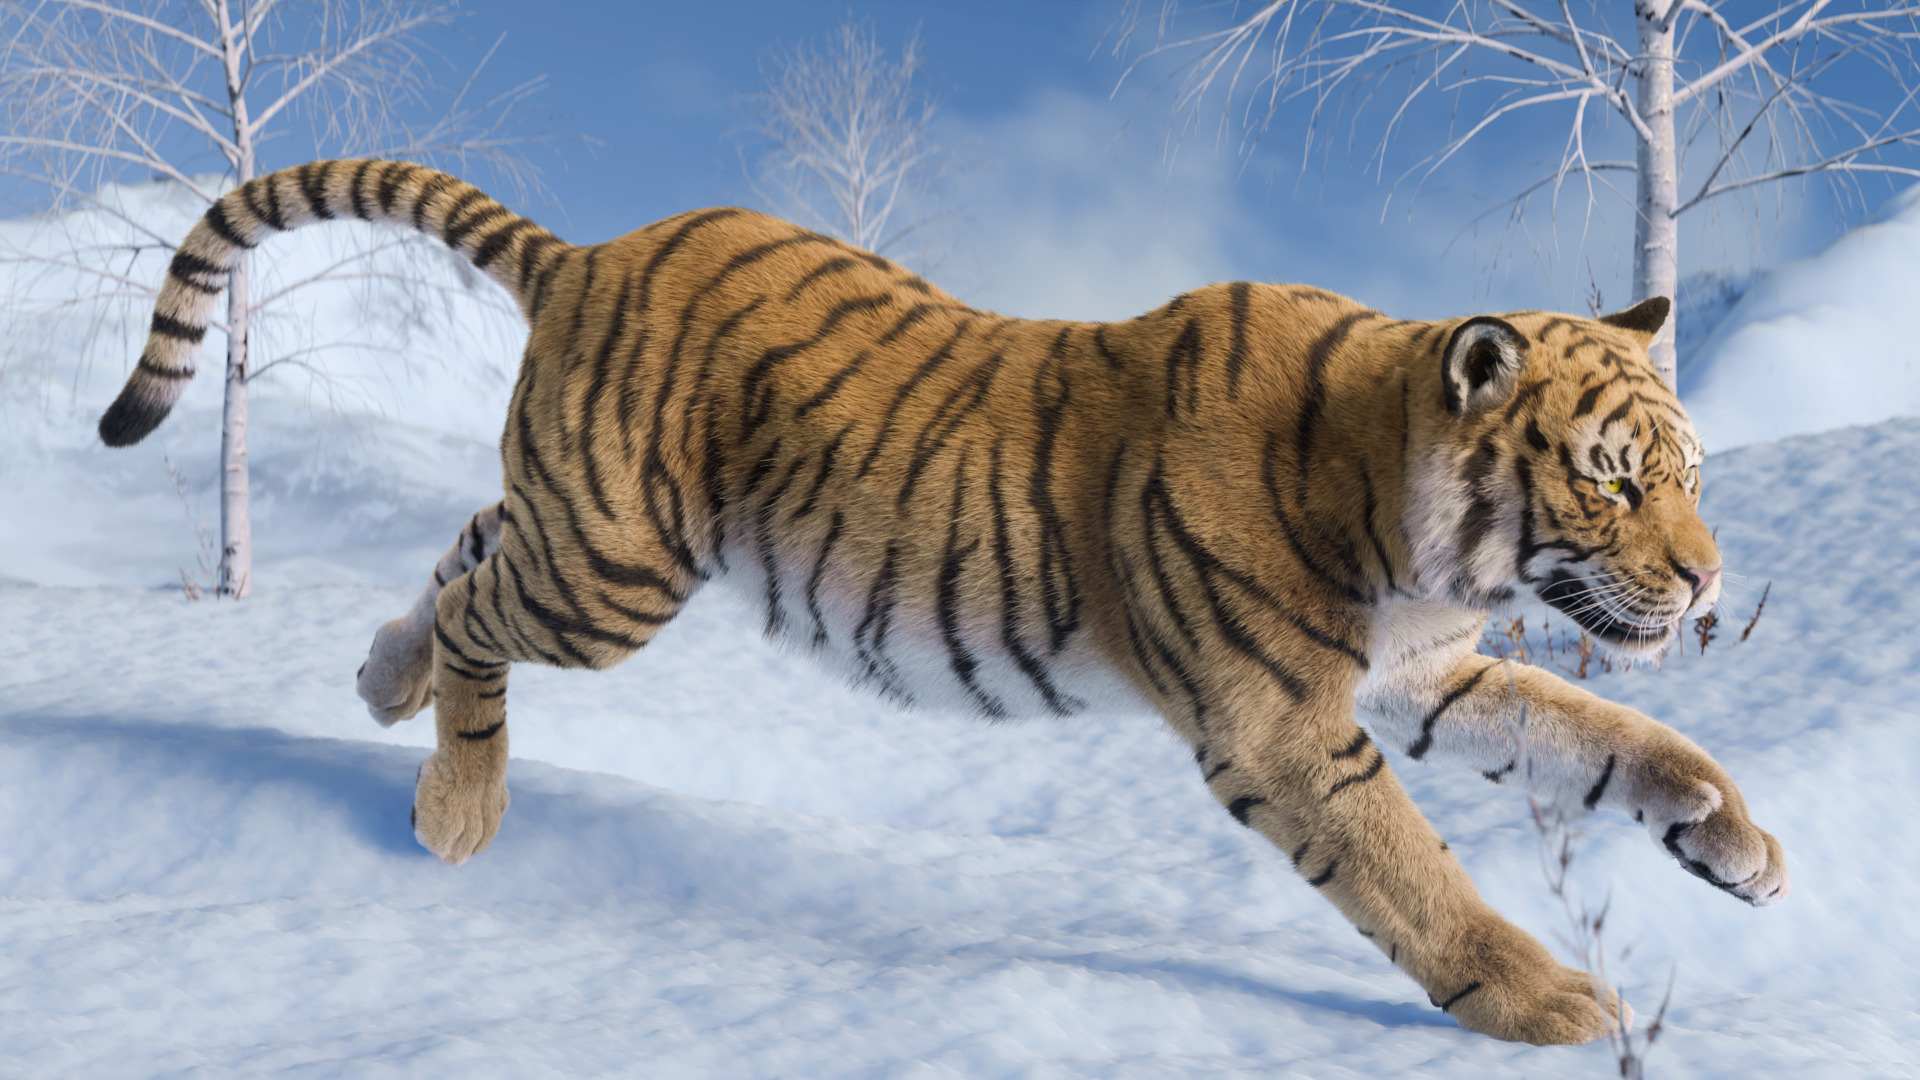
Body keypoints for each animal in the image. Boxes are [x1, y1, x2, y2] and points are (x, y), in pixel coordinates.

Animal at [99, 159, 1789, 1046]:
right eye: (1615, 483)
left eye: (1687, 476)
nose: (1709, 577)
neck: (1414, 522)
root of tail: (591, 251)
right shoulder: (1285, 726)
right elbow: (1413, 868)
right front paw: (1550, 1002)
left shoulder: (1423, 676)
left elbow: (1601, 736)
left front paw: (1736, 843)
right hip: (614, 573)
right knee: (477, 615)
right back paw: (455, 810)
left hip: (577, 530)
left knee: (463, 554)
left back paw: (376, 682)